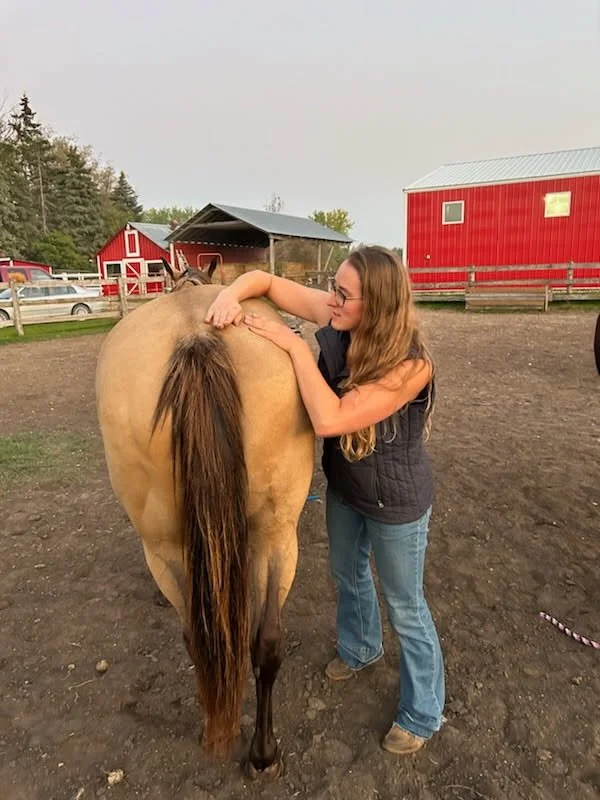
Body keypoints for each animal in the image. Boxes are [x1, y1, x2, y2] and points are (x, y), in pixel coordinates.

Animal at [96, 259, 315, 776]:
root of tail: (195, 334)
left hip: (168, 549)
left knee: (205, 639)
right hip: (275, 535)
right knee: (262, 643)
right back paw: (260, 753)